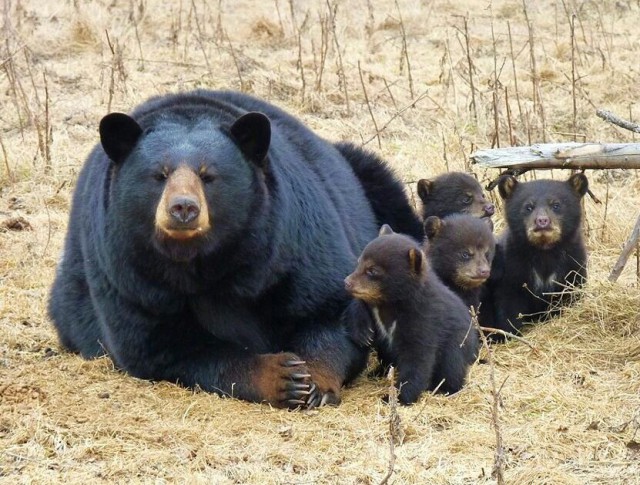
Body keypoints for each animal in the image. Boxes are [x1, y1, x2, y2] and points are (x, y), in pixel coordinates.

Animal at [50, 89, 420, 406]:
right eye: (159, 174)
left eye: (208, 175)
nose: (183, 208)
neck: (203, 260)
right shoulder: (130, 274)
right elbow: (162, 345)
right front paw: (282, 377)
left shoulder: (291, 242)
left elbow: (331, 311)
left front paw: (314, 382)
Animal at [344, 225, 476, 402]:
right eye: (359, 262)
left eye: (373, 270)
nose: (347, 282)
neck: (391, 303)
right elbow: (361, 306)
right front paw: (364, 333)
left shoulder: (422, 318)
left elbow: (417, 358)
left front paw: (396, 397)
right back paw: (377, 371)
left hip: (458, 342)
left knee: (452, 365)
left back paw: (444, 388)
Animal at [480, 174, 592, 336]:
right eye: (528, 207)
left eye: (556, 205)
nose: (542, 221)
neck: (543, 250)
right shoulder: (512, 266)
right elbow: (509, 302)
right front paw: (511, 332)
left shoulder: (573, 262)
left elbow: (571, 291)